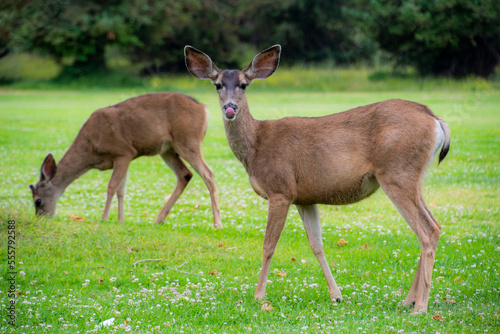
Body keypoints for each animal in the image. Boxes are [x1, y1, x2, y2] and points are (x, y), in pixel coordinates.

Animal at [28, 92, 222, 228]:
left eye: (38, 201)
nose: (41, 218)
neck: (90, 148)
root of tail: (204, 109)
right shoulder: (124, 158)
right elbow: (121, 189)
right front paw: (121, 220)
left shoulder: (123, 151)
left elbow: (112, 186)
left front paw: (104, 218)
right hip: (167, 149)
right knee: (185, 174)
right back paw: (159, 219)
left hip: (188, 140)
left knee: (209, 173)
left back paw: (217, 223)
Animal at [184, 43, 450, 310]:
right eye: (217, 84)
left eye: (243, 84)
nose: (230, 108)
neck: (256, 146)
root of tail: (436, 120)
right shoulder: (304, 198)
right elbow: (316, 244)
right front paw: (336, 295)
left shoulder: (280, 189)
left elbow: (269, 245)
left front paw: (259, 295)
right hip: (413, 177)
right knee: (435, 226)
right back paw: (408, 300)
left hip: (396, 172)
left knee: (426, 231)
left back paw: (420, 306)